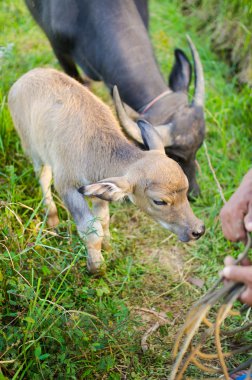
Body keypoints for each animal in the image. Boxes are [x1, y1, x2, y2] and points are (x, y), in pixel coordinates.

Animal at [8, 68, 205, 274]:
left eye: (185, 188)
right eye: (159, 201)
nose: (198, 230)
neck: (92, 147)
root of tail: (25, 78)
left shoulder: (98, 189)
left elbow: (103, 222)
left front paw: (109, 249)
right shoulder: (66, 186)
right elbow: (91, 229)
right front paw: (97, 268)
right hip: (34, 152)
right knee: (44, 178)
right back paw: (52, 219)